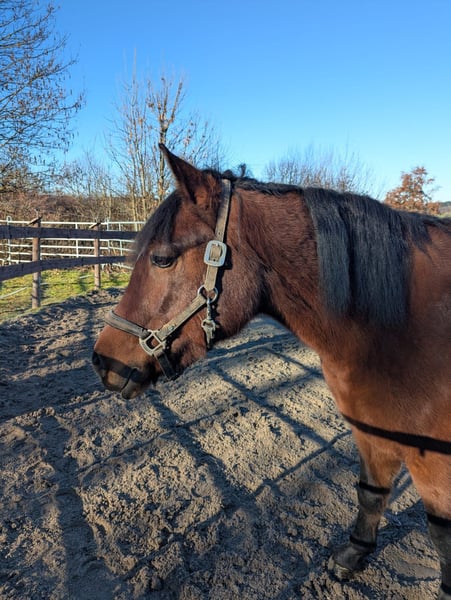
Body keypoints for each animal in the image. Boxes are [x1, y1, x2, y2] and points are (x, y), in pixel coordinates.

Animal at [92, 146, 451, 599]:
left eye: (162, 259)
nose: (103, 361)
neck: (400, 326)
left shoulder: (434, 463)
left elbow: (441, 536)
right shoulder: (373, 432)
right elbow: (371, 492)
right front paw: (352, 556)